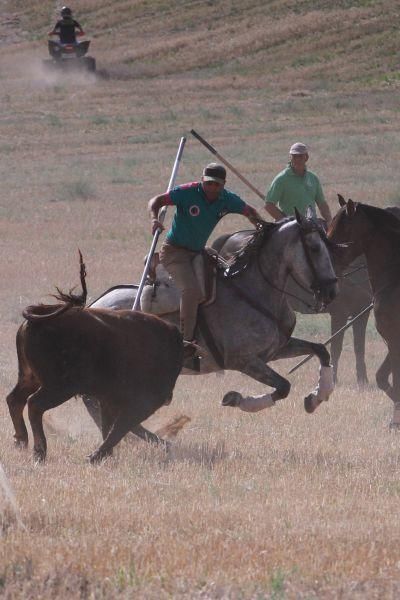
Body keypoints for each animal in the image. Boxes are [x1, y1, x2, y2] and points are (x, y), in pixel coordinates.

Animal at [6, 268, 184, 464]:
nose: (168, 397)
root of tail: (40, 314)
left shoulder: (108, 400)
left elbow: (110, 427)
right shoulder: (139, 403)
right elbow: (119, 428)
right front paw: (96, 456)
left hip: (30, 377)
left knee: (15, 400)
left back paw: (21, 441)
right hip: (59, 388)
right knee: (34, 404)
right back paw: (39, 451)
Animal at [87, 212, 338, 418]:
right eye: (314, 248)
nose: (332, 291)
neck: (255, 291)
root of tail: (94, 305)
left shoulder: (276, 350)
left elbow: (320, 350)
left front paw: (317, 396)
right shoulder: (244, 361)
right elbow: (283, 386)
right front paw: (237, 399)